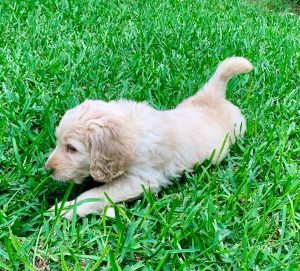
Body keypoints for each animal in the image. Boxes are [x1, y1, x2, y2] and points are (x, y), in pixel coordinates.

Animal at [45, 56, 253, 220]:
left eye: (72, 148)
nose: (48, 170)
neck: (132, 129)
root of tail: (212, 97)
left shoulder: (140, 179)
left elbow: (96, 194)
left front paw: (64, 209)